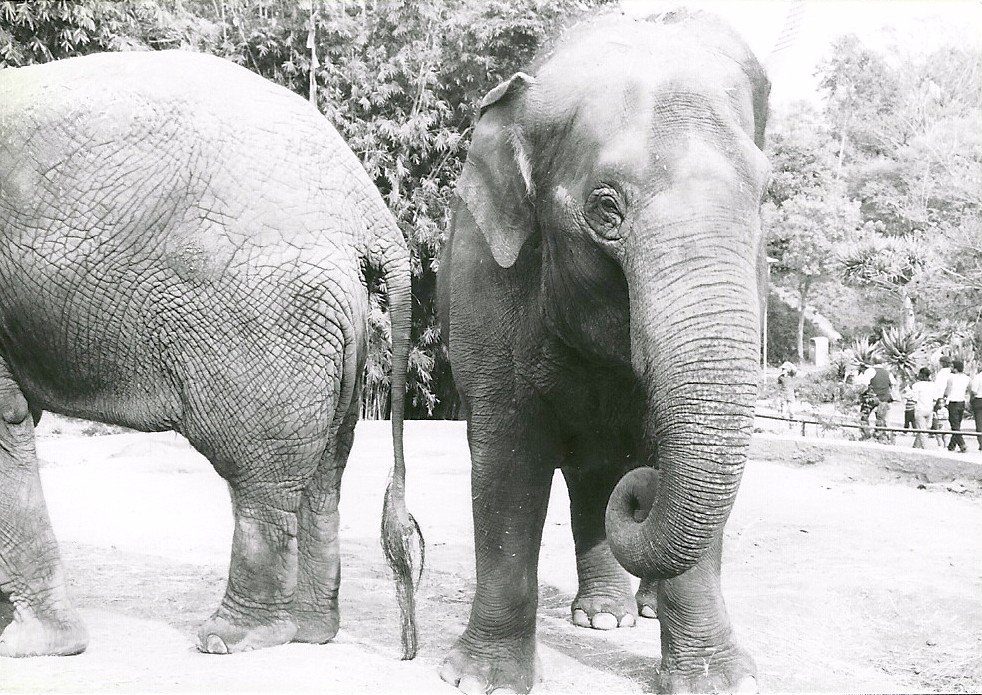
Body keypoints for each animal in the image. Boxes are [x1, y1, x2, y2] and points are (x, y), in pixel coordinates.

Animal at [0, 50, 422, 659]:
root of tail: (367, 209)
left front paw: (30, 645)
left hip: (264, 319)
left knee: (258, 473)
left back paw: (231, 638)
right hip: (343, 325)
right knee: (324, 471)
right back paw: (310, 633)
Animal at [437, 11, 770, 694]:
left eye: (762, 196)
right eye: (606, 207)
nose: (644, 496)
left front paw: (720, 682)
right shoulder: (486, 273)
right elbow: (505, 454)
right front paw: (480, 679)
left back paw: (635, 612)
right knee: (594, 478)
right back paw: (604, 618)